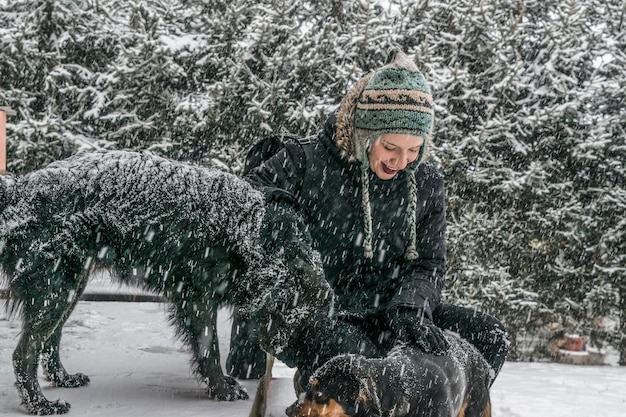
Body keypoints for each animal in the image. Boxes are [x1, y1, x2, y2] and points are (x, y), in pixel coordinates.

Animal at [0, 150, 332, 412]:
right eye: (296, 320)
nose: (294, 365)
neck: (259, 236)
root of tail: (19, 189)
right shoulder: (197, 297)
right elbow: (209, 348)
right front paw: (221, 389)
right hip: (57, 288)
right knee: (23, 353)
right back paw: (39, 404)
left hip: (70, 287)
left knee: (49, 342)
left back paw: (62, 379)